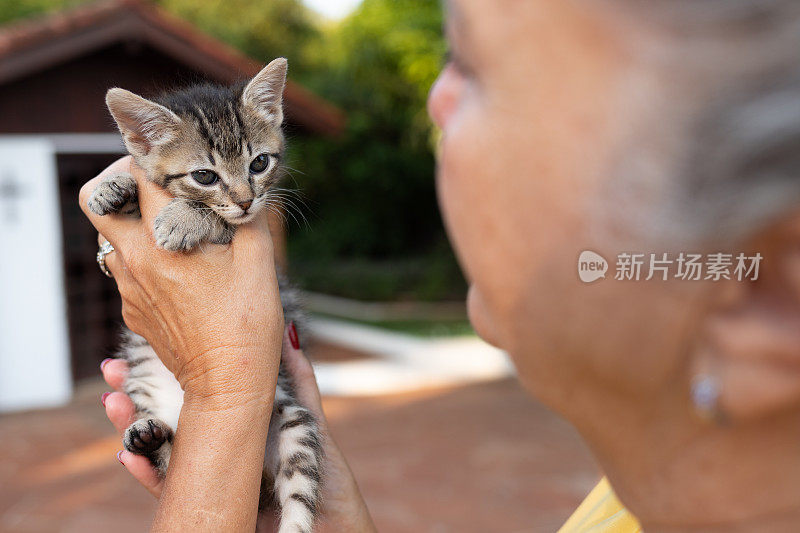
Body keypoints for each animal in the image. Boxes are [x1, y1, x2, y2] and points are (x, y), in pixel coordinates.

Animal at [86, 58, 322, 532]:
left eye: (259, 163)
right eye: (204, 175)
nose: (247, 201)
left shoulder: (244, 227)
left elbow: (219, 220)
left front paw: (183, 219)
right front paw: (112, 188)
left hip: (294, 422)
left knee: (299, 501)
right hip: (143, 389)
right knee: (169, 458)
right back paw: (146, 434)